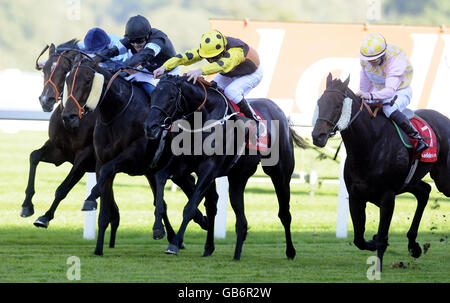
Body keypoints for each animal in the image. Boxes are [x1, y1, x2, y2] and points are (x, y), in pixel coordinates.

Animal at [20, 39, 98, 228]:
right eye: (45, 70)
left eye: (65, 71)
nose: (45, 100)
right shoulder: (59, 150)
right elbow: (34, 156)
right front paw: (27, 205)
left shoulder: (85, 157)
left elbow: (63, 188)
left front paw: (45, 217)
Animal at [146, 74, 308, 262]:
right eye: (153, 95)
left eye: (171, 97)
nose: (150, 127)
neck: (202, 120)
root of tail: (279, 111)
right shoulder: (182, 164)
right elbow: (160, 179)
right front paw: (158, 229)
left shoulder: (208, 169)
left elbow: (190, 207)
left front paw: (174, 244)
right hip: (239, 176)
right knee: (240, 219)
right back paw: (232, 253)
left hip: (280, 173)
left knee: (284, 213)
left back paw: (290, 251)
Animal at [312, 73, 450, 270]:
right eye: (319, 102)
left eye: (338, 105)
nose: (318, 136)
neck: (370, 144)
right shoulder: (356, 195)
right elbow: (359, 239)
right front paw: (373, 240)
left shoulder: (388, 196)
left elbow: (382, 236)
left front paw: (378, 263)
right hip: (411, 181)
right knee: (424, 191)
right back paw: (413, 245)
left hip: (443, 179)